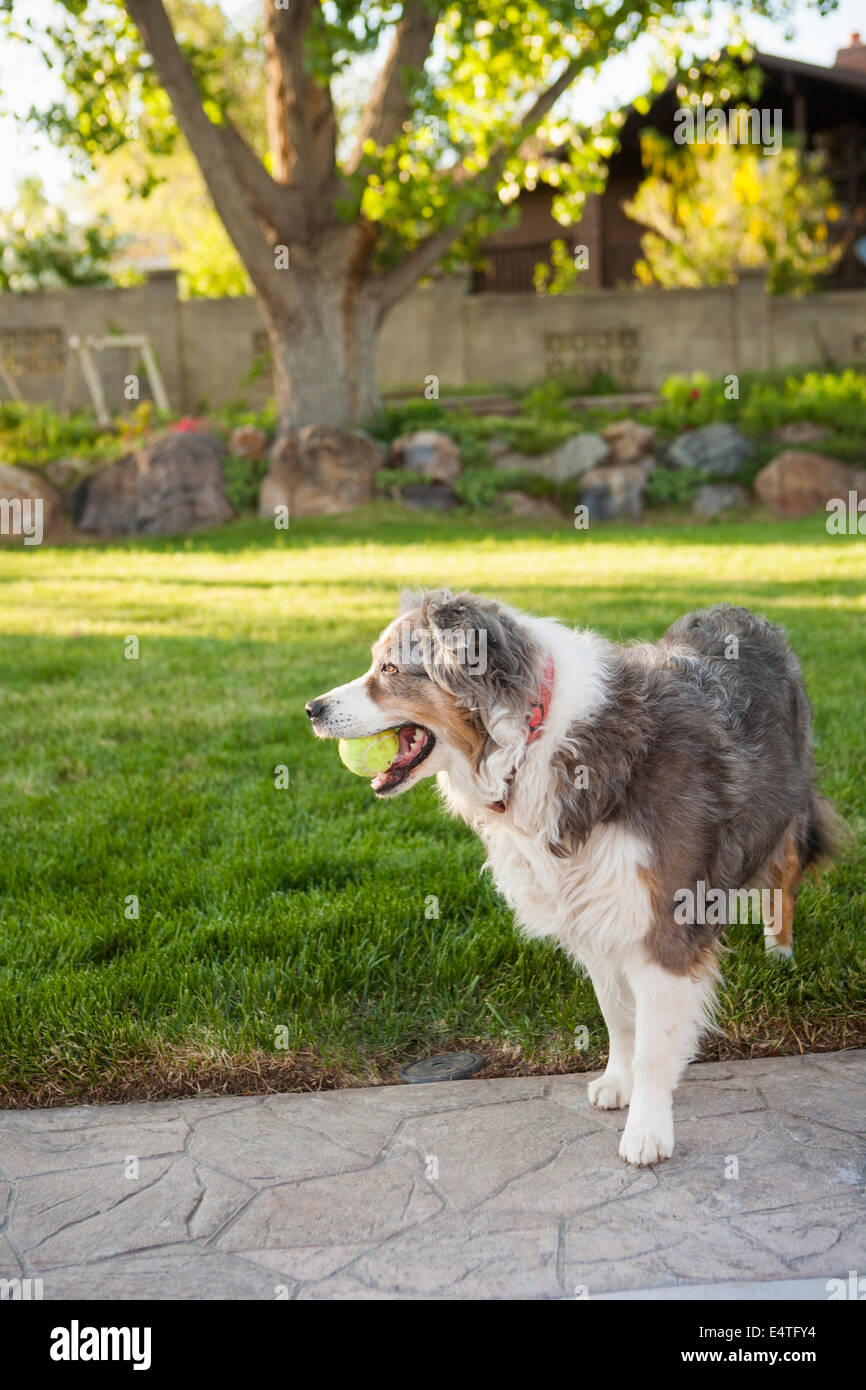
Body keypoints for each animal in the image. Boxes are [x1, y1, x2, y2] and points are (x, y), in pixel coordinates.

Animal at [307, 592, 839, 1167]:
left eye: (389, 669)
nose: (312, 709)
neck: (532, 740)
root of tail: (739, 610)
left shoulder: (664, 919)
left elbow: (655, 1042)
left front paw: (647, 1130)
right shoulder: (594, 908)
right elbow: (619, 1018)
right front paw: (618, 1082)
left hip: (785, 812)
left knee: (783, 878)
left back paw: (779, 952)